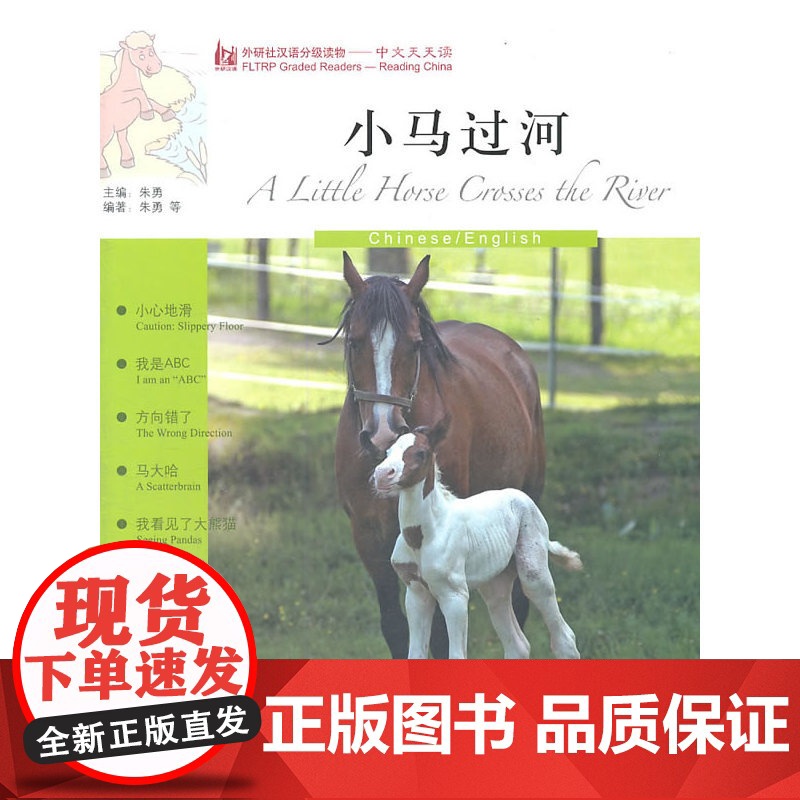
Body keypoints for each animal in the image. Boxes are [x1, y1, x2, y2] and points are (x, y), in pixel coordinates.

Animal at [100, 32, 176, 178]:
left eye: (151, 50)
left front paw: (166, 113)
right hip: (106, 133)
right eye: (140, 55)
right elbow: (140, 93)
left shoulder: (122, 126)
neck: (124, 87)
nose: (156, 67)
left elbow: (150, 100)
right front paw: (147, 113)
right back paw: (103, 170)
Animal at [328, 252, 547, 658]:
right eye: (354, 342)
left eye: (415, 344)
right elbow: (396, 629)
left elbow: (445, 636)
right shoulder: (368, 536)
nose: (383, 432)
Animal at [372, 419, 582, 659]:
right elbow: (415, 655)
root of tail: (523, 498)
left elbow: (456, 655)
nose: (381, 475)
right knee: (517, 644)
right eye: (387, 452)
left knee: (564, 638)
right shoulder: (416, 592)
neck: (423, 536)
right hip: (495, 583)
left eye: (421, 453)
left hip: (533, 572)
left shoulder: (454, 594)